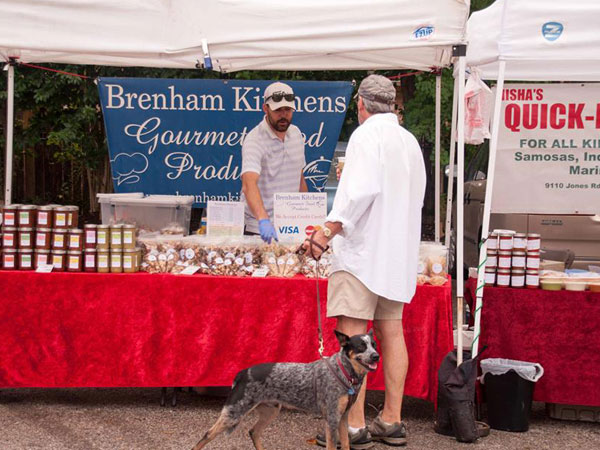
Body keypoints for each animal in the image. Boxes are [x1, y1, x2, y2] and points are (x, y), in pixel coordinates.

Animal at [192, 326, 380, 450]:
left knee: (253, 432)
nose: (376, 356)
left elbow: (346, 444)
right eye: (361, 346)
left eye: (374, 345)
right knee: (205, 436)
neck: (345, 373)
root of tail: (243, 372)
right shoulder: (332, 419)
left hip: (271, 411)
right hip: (233, 414)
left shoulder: (343, 418)